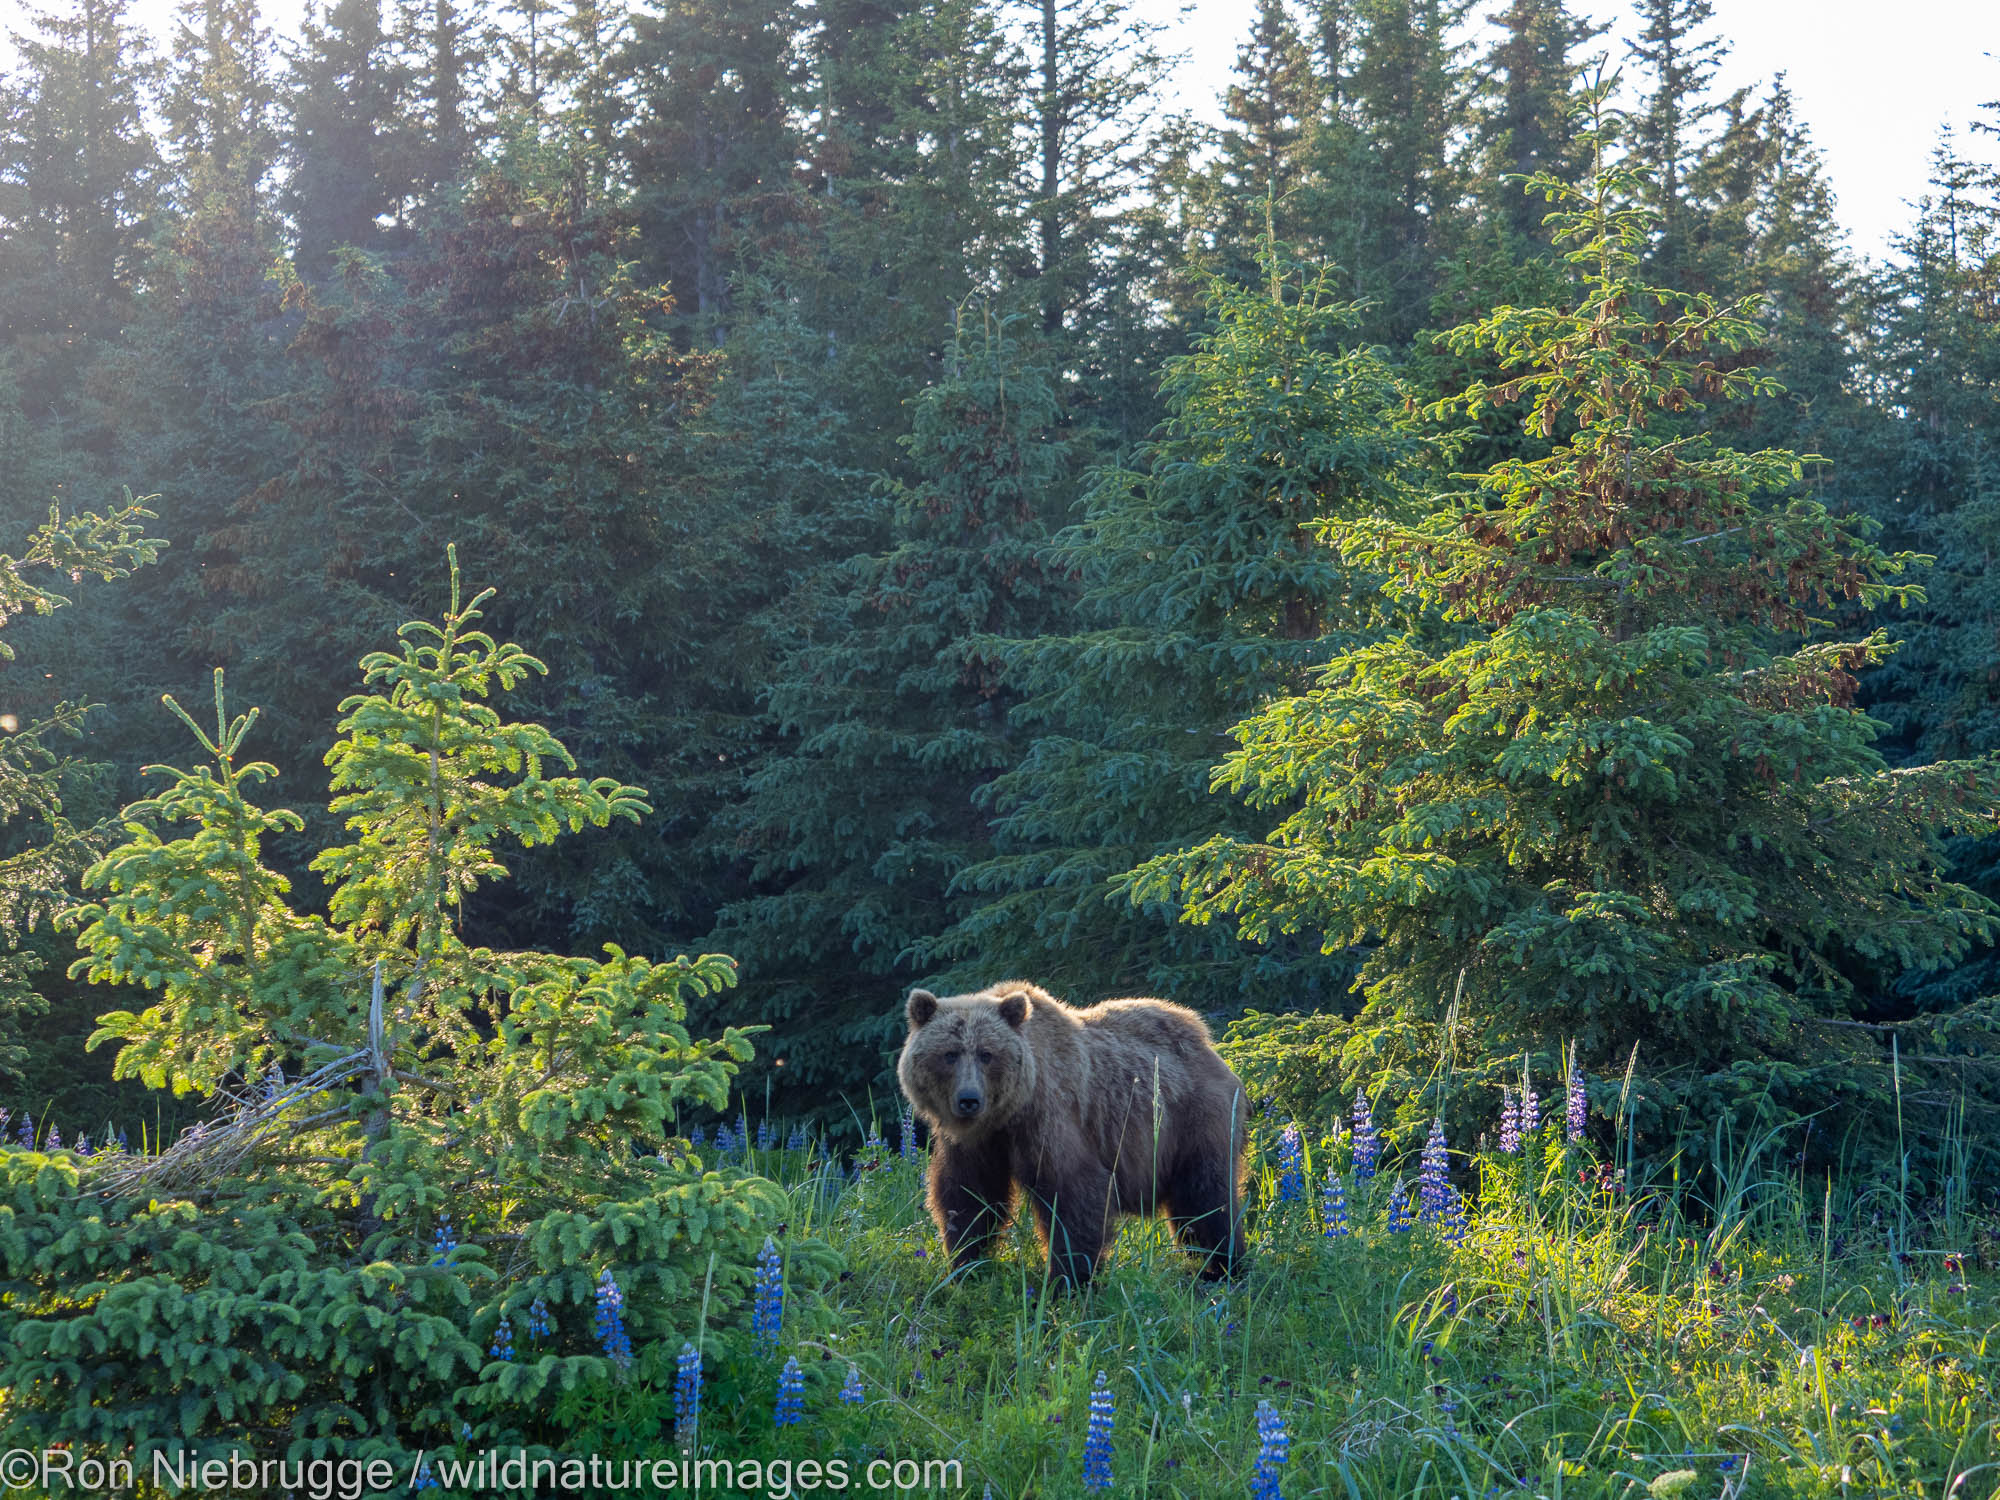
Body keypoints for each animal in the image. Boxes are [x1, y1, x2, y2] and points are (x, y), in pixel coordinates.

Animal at [900, 988, 1240, 1296]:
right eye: (949, 1054)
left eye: (987, 1053)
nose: (969, 1100)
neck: (1008, 1115)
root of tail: (1208, 1045)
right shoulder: (976, 1145)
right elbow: (968, 1197)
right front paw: (965, 1266)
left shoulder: (1051, 1121)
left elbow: (1074, 1193)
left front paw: (1066, 1282)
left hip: (1193, 1119)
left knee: (1207, 1193)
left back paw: (1222, 1266)